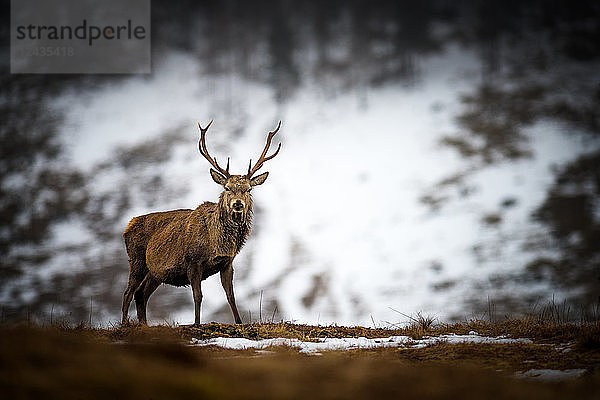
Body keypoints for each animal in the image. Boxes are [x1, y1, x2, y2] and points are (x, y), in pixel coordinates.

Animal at [122, 121, 284, 324]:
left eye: (248, 189)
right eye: (227, 188)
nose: (237, 204)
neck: (217, 243)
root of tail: (128, 226)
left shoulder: (227, 263)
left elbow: (231, 296)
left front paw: (239, 323)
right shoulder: (193, 261)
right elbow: (198, 296)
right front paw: (197, 323)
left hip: (155, 272)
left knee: (141, 294)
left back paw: (144, 325)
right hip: (136, 260)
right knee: (128, 293)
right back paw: (124, 324)